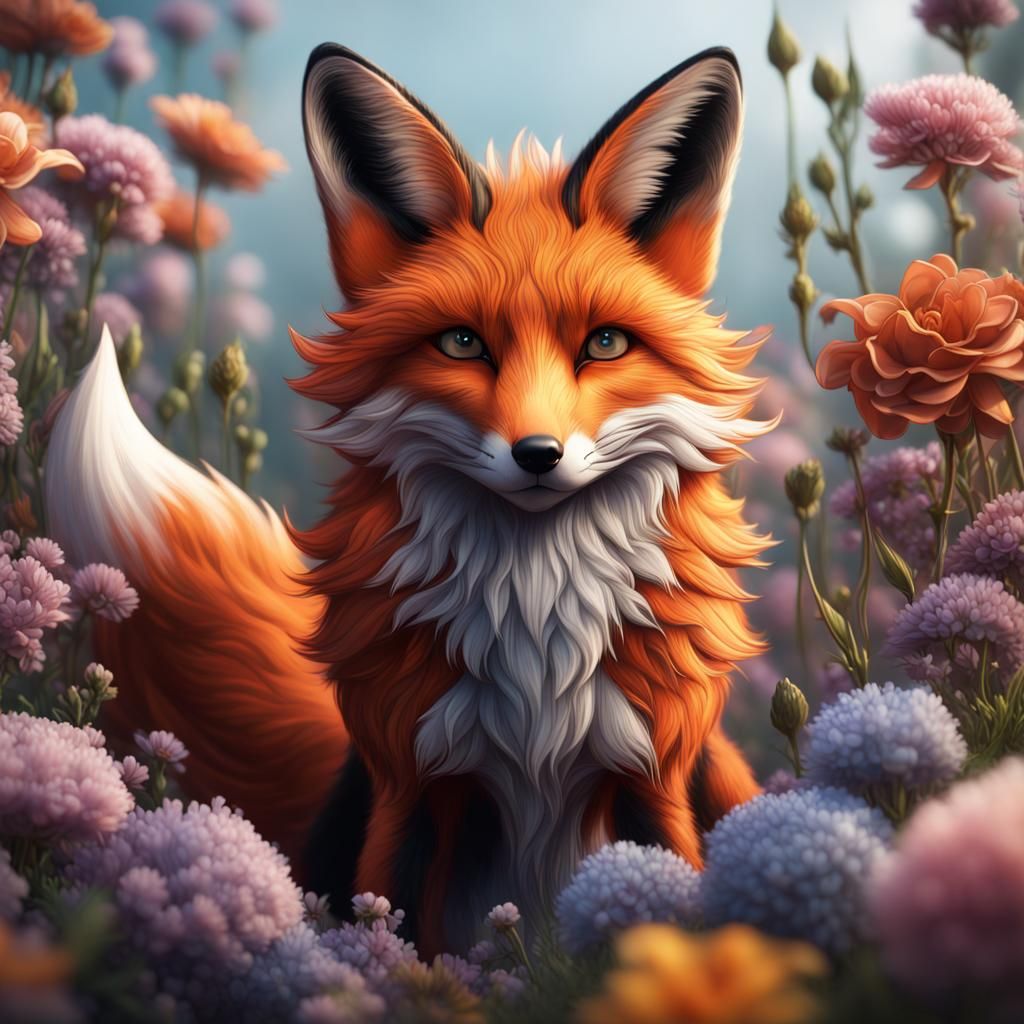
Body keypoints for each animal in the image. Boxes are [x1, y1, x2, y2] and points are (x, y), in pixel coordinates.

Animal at [46, 43, 776, 955]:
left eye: (605, 343)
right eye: (462, 343)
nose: (538, 455)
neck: (537, 629)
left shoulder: (655, 775)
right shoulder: (412, 786)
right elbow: (391, 941)